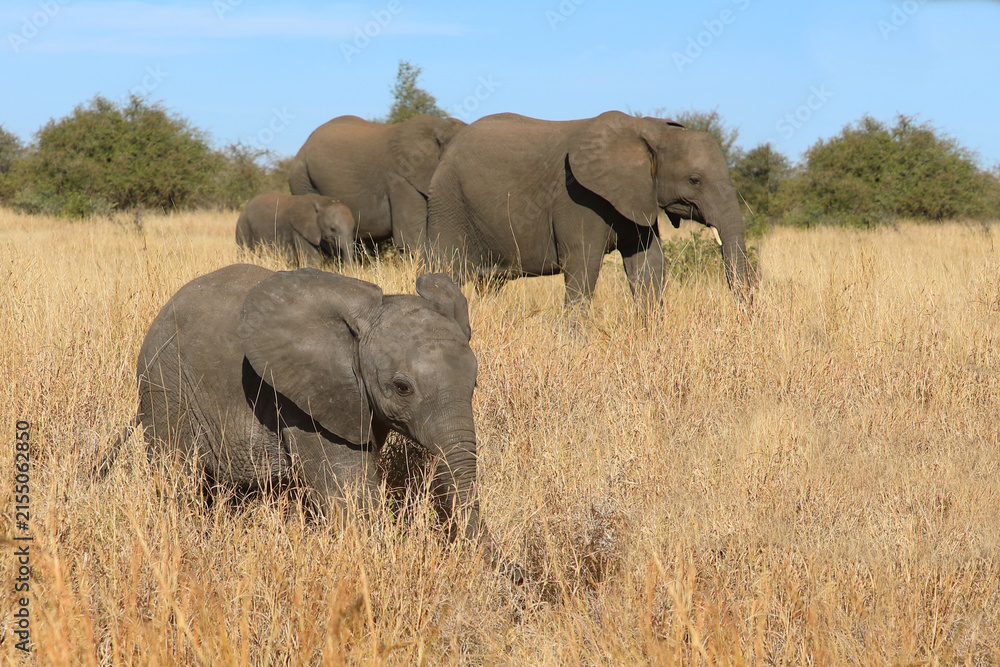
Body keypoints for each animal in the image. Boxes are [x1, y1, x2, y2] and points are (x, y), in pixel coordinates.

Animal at [127, 263, 509, 569]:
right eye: (402, 388)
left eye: (474, 383)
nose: (513, 573)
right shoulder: (303, 399)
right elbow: (349, 494)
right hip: (165, 385)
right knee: (175, 477)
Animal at [424, 111, 751, 307]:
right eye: (695, 180)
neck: (646, 128)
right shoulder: (578, 197)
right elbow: (582, 265)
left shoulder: (634, 197)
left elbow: (648, 265)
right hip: (448, 203)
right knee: (444, 268)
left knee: (488, 282)